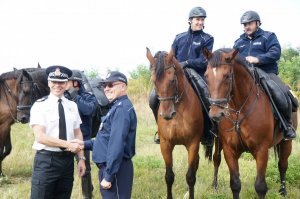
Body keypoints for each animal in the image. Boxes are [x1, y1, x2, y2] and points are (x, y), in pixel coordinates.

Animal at [146, 47, 210, 198]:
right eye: (154, 81)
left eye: (172, 80)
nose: (167, 114)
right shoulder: (165, 144)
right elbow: (169, 176)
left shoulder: (193, 143)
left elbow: (190, 176)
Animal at [203, 48, 296, 199]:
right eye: (206, 76)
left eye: (227, 76)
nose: (216, 114)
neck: (239, 110)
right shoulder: (230, 150)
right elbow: (235, 184)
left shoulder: (261, 150)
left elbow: (260, 187)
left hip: (286, 142)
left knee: (282, 164)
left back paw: (283, 191)